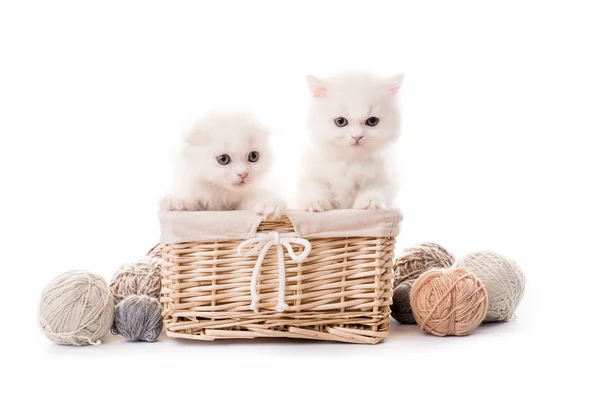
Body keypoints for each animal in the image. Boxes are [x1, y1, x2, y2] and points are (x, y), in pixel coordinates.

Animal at [298, 70, 406, 211]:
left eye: (372, 121)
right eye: (340, 121)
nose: (357, 136)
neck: (350, 162)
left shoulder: (384, 180)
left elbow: (374, 191)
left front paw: (369, 203)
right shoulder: (311, 177)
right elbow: (314, 188)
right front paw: (314, 204)